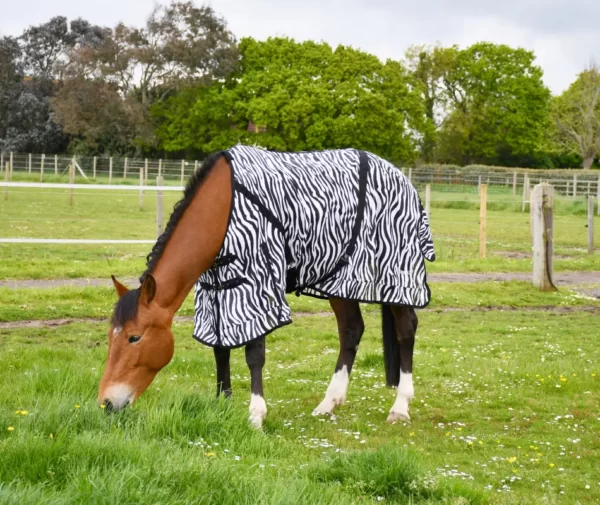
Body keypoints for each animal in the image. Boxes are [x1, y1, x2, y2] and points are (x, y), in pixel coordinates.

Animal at [99, 144, 436, 428]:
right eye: (110, 337)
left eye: (134, 337)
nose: (106, 403)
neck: (223, 208)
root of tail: (401, 178)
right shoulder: (217, 290)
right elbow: (220, 349)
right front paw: (222, 403)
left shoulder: (258, 285)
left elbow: (254, 354)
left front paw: (256, 414)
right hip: (339, 279)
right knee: (351, 330)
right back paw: (329, 403)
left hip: (397, 275)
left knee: (406, 329)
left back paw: (400, 407)